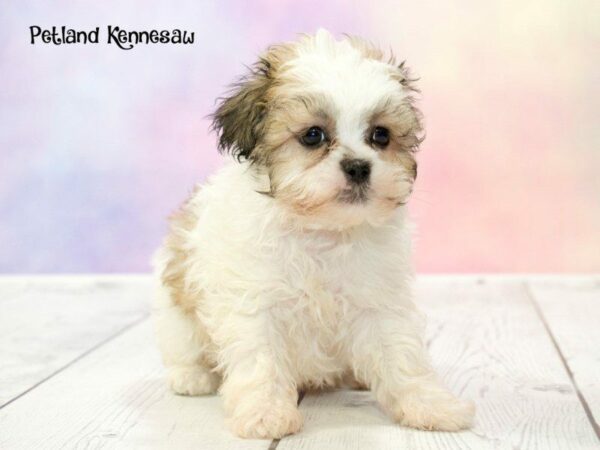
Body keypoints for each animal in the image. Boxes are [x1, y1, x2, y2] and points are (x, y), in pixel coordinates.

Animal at [154, 29, 474, 440]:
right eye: (312, 136)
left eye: (380, 135)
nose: (358, 166)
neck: (322, 231)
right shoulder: (254, 304)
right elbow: (261, 360)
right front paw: (266, 413)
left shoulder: (378, 300)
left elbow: (401, 355)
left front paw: (430, 404)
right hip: (175, 312)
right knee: (183, 347)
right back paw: (191, 377)